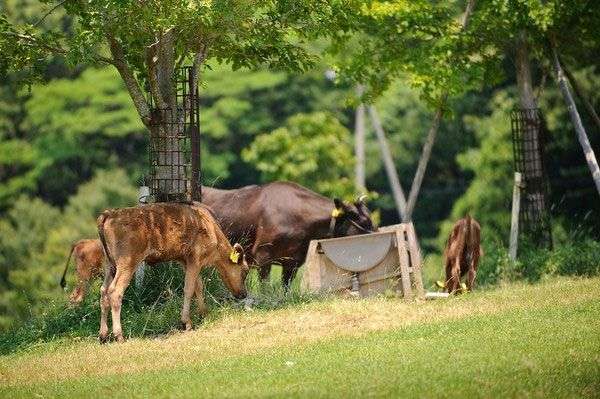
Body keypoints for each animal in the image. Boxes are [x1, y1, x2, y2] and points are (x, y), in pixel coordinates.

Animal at [97, 203, 247, 344]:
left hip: (109, 265)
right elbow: (189, 289)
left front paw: (204, 313)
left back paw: (103, 336)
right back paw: (119, 336)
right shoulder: (194, 259)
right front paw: (187, 322)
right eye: (245, 271)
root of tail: (108, 215)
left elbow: (198, 287)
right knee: (115, 291)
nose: (244, 294)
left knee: (104, 291)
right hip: (127, 263)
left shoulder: (187, 262)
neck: (212, 230)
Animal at [203, 183, 376, 290]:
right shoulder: (262, 255)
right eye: (362, 221)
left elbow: (286, 287)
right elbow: (265, 287)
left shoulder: (293, 261)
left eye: (370, 219)